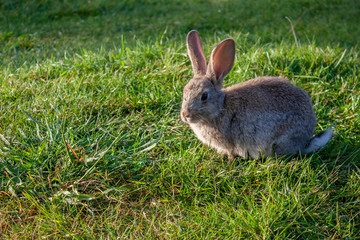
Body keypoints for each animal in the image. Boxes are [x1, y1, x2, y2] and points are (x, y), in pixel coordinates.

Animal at [181, 30, 334, 161]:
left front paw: (229, 160)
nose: (185, 115)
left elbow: (231, 152)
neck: (220, 108)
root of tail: (305, 142)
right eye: (184, 93)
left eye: (204, 96)